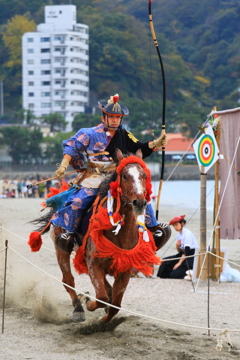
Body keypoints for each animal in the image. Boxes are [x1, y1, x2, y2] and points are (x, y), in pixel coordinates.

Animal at [28, 149, 166, 324]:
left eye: (144, 175)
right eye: (125, 176)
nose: (139, 203)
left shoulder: (125, 268)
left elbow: (115, 305)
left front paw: (104, 321)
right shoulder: (94, 263)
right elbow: (101, 297)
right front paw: (88, 302)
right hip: (61, 249)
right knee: (68, 280)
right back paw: (78, 308)